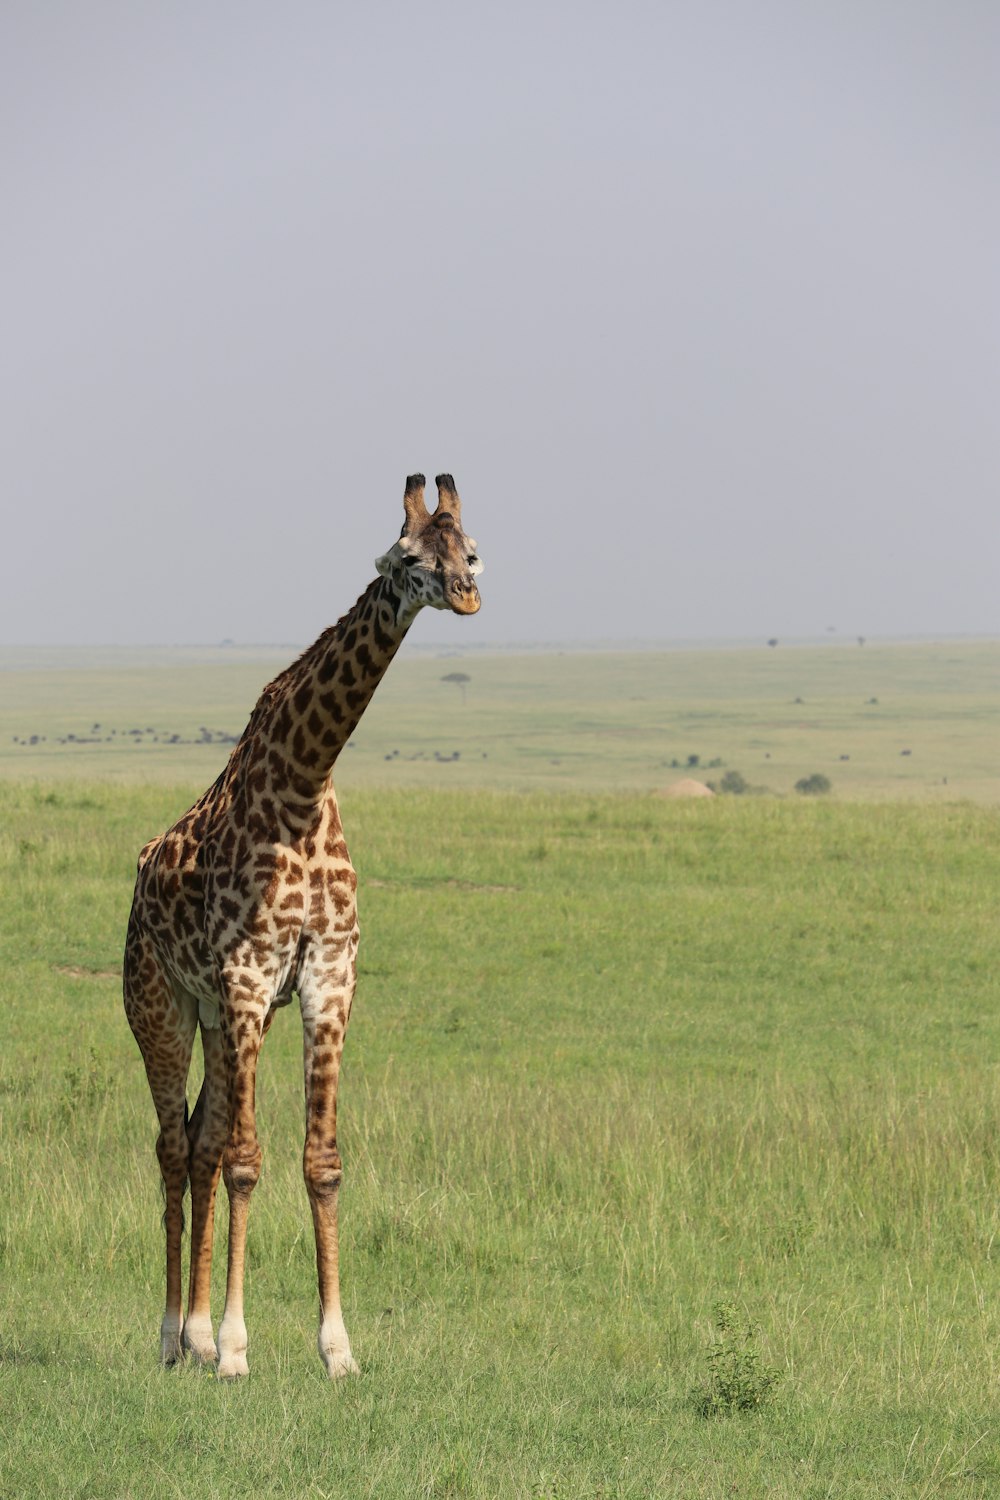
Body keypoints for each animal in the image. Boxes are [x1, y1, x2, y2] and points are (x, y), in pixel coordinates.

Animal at [122, 474, 482, 1374]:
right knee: (175, 1148)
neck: (306, 782)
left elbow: (321, 1163)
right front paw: (237, 1348)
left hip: (217, 1016)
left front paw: (336, 1348)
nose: (466, 592)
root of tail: (140, 875)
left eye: (472, 548)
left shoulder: (326, 980)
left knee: (202, 1141)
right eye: (408, 557)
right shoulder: (250, 975)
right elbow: (248, 1161)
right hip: (162, 1005)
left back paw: (193, 1332)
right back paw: (173, 1336)